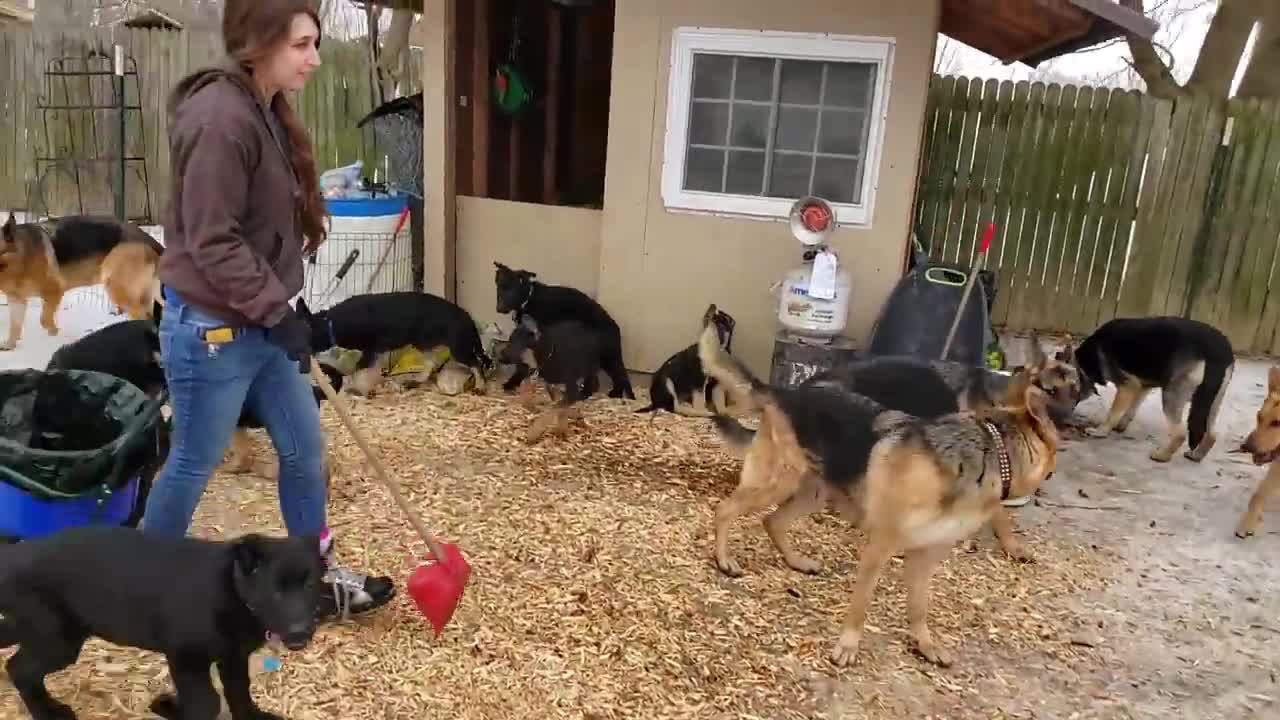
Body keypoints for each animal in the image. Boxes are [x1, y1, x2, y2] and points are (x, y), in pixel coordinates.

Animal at [2, 520, 322, 717]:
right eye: (275, 589)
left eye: (309, 585)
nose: (299, 633)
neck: (233, 589)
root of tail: (12, 554)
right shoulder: (185, 657)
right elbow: (206, 702)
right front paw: (167, 708)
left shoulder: (232, 657)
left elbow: (239, 691)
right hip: (58, 639)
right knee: (19, 668)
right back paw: (50, 713)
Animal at [296, 288, 491, 394]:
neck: (329, 323)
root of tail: (466, 316)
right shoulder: (376, 353)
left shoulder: (372, 350)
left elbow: (356, 371)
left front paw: (359, 388)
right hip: (423, 344)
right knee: (431, 363)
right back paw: (414, 381)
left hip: (458, 348)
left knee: (476, 364)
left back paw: (480, 387)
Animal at [488, 262, 634, 399]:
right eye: (499, 288)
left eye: (512, 289)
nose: (499, 308)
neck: (529, 298)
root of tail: (615, 328)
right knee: (618, 376)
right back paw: (615, 394)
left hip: (607, 356)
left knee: (619, 376)